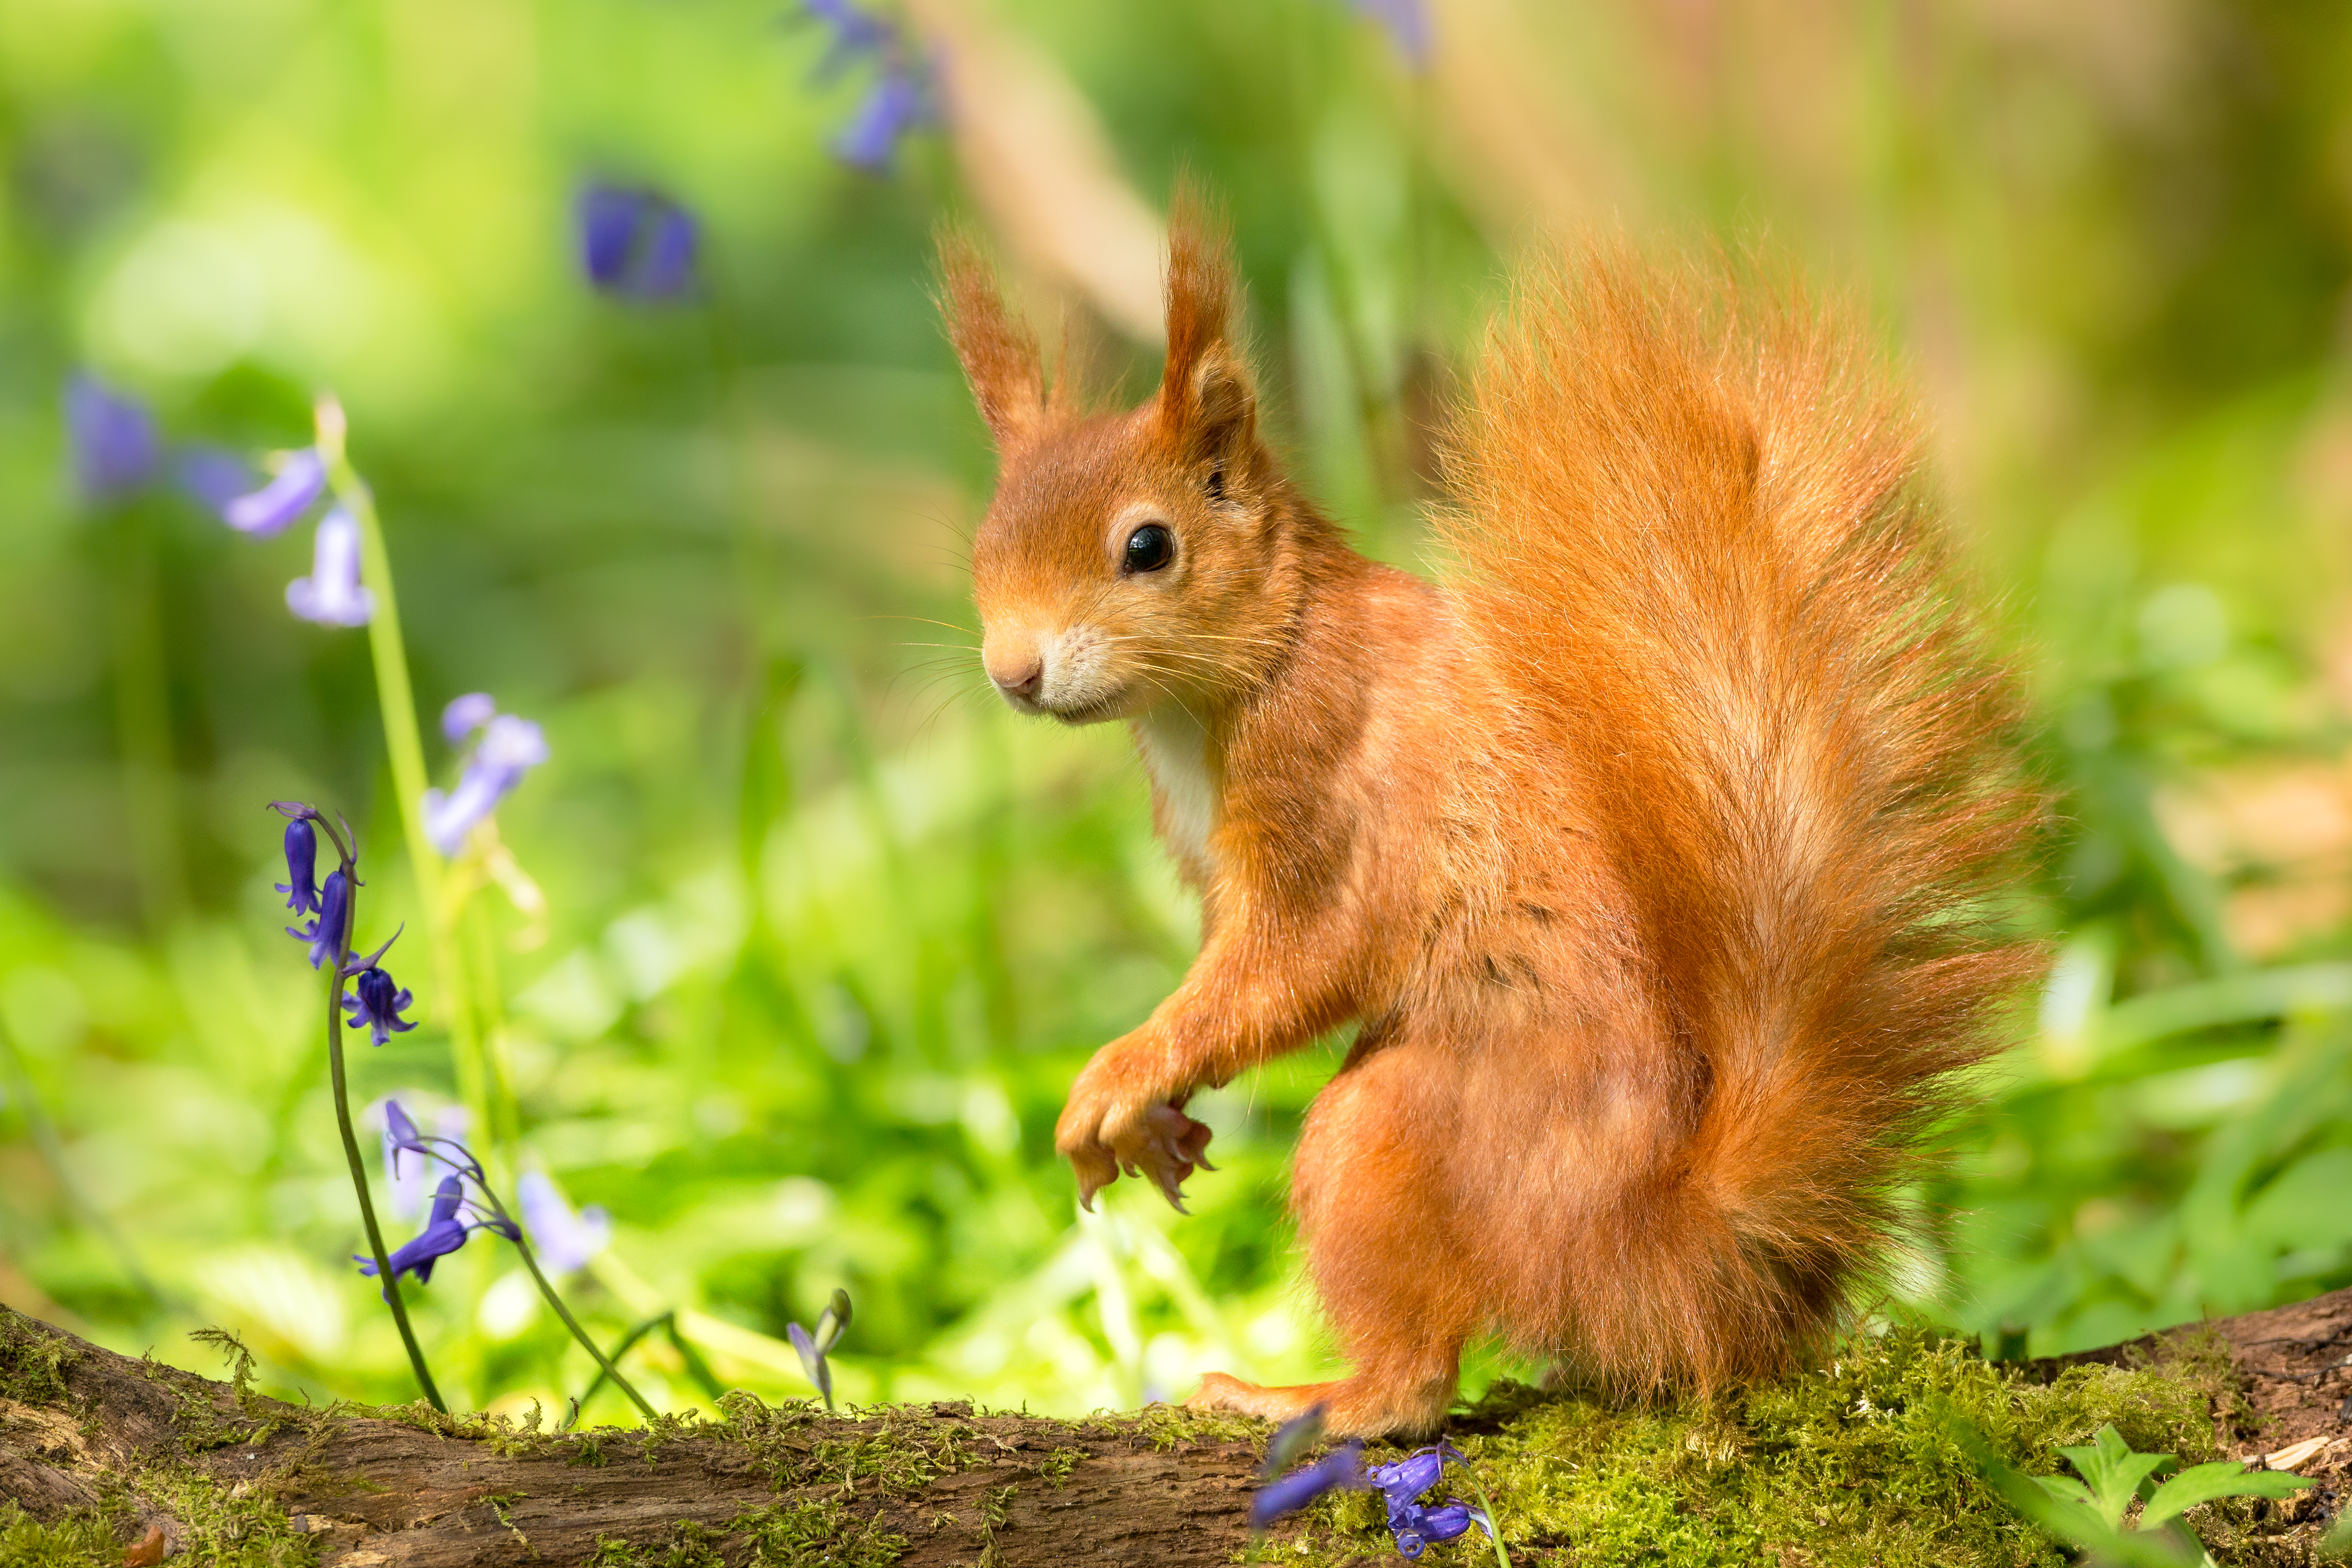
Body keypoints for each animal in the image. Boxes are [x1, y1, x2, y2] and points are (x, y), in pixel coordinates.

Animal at [935, 193, 2039, 1437]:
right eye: (984, 544)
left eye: (1147, 545)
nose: (1014, 671)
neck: (1243, 671)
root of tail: (1654, 1242)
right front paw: (1156, 1121)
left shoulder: (1331, 790)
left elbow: (1300, 959)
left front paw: (1119, 1075)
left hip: (1390, 1135)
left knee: (1416, 1375)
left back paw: (1312, 1398)